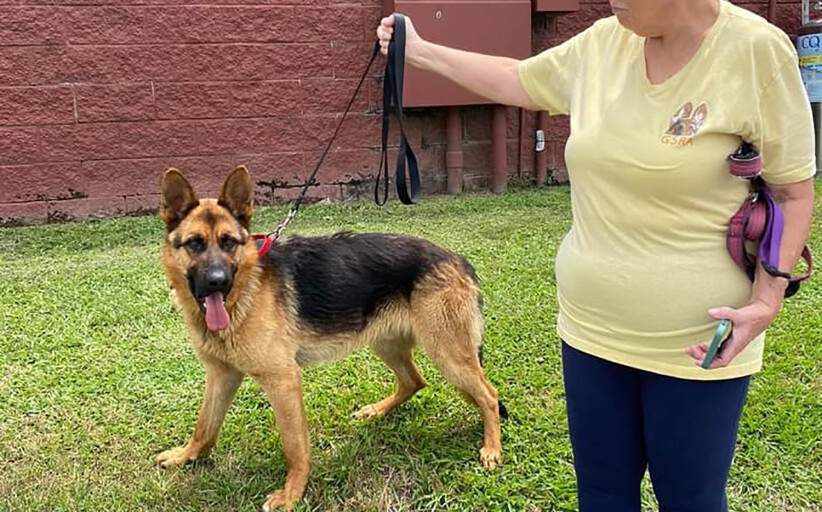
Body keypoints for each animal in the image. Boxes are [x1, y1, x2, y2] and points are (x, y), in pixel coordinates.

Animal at [153, 167, 502, 508]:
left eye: (228, 243)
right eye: (194, 244)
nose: (217, 281)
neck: (245, 292)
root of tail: (458, 260)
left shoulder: (283, 380)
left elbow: (294, 447)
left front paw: (292, 494)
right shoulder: (222, 375)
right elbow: (205, 426)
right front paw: (187, 456)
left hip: (448, 355)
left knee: (489, 395)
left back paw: (492, 448)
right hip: (386, 343)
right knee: (414, 381)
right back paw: (377, 411)